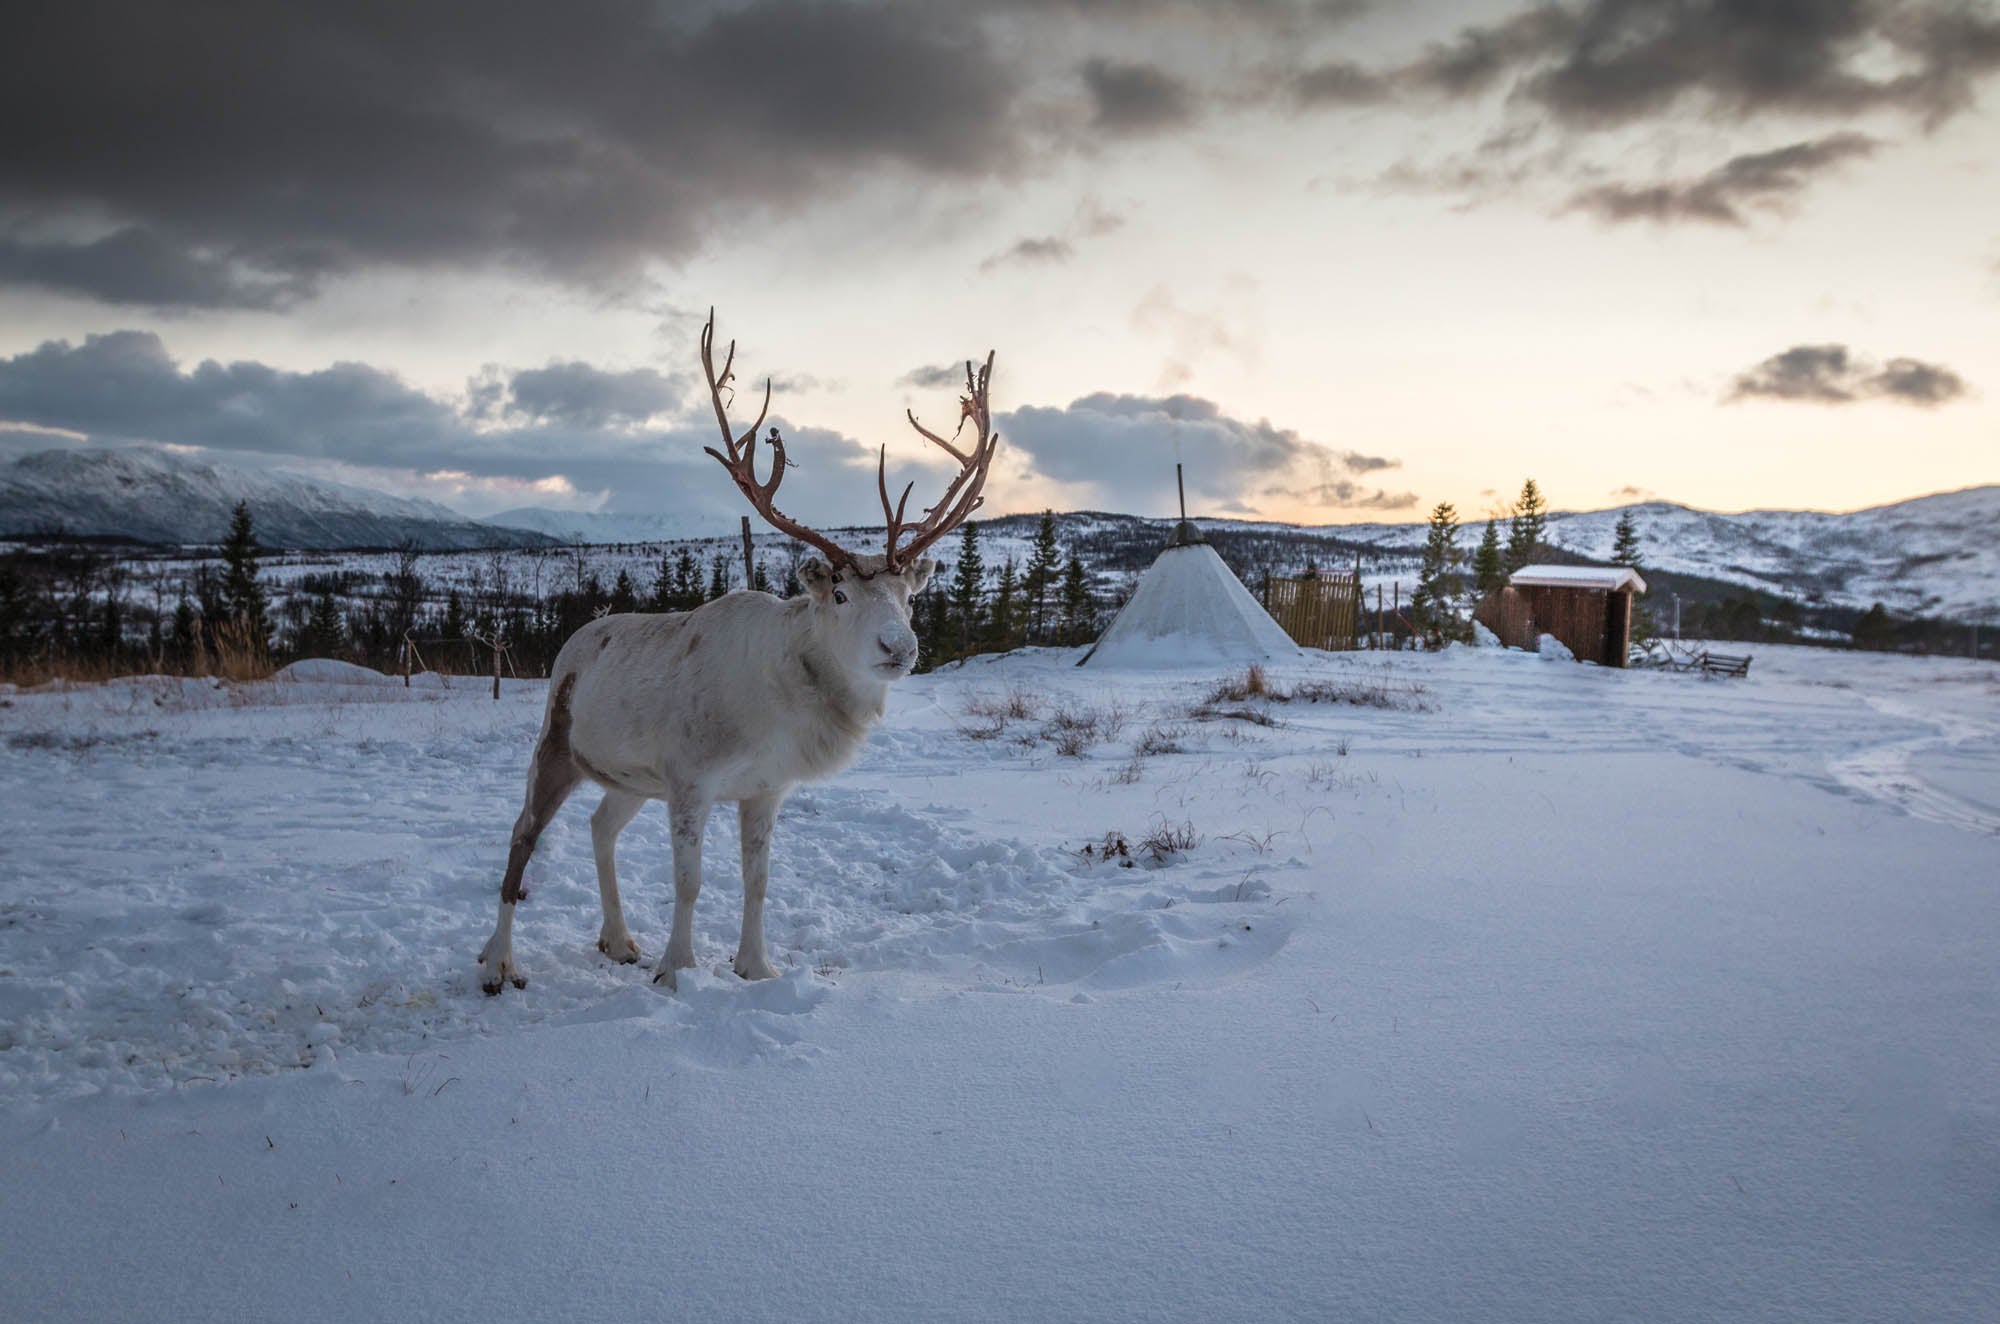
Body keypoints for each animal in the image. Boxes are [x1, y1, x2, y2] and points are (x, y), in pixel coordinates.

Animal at [477, 312, 999, 995]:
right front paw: (677, 970)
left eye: (909, 596)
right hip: (557, 743)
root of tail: (577, 640)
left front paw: (756, 966)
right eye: (838, 593)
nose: (900, 646)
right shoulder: (690, 779)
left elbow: (758, 880)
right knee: (521, 835)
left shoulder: (763, 787)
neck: (782, 708)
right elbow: (689, 881)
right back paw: (499, 960)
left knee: (600, 825)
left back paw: (616, 940)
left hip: (630, 775)